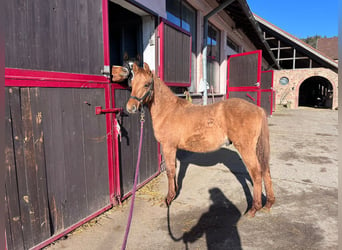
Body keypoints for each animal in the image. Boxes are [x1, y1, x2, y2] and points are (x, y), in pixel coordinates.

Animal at [125, 62, 276, 217]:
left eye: (147, 84)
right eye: (132, 83)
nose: (130, 108)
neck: (168, 110)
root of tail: (258, 109)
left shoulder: (168, 147)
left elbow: (170, 171)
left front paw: (168, 199)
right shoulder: (173, 149)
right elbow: (174, 169)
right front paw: (174, 193)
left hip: (246, 148)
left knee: (256, 173)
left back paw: (254, 209)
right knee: (265, 170)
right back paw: (268, 204)